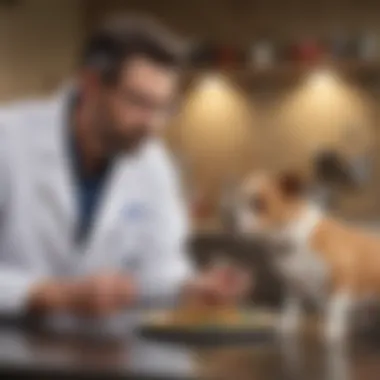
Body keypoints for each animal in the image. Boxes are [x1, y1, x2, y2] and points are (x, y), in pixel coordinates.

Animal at [238, 171, 380, 342]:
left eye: (258, 204)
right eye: (241, 202)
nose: (233, 220)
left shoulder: (342, 280)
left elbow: (335, 308)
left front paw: (331, 331)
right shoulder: (292, 285)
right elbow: (290, 308)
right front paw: (287, 325)